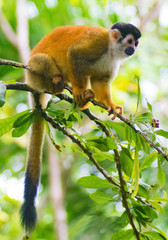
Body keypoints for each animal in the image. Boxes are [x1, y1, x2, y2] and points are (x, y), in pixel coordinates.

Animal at [20, 22, 140, 232]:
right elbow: (74, 55)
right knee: (45, 61)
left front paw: (109, 105)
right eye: (130, 41)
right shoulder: (97, 44)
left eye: (136, 43)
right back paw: (62, 87)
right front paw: (78, 92)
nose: (133, 49)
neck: (112, 50)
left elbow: (100, 80)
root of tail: (32, 85)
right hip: (33, 72)